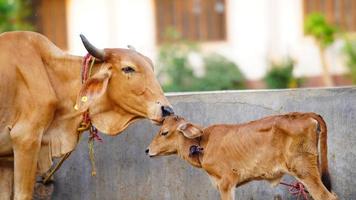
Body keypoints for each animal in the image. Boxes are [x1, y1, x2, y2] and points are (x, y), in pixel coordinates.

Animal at [146, 112, 338, 200]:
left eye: (164, 132)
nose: (147, 150)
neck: (203, 143)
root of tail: (304, 115)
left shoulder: (226, 183)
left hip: (304, 170)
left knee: (327, 197)